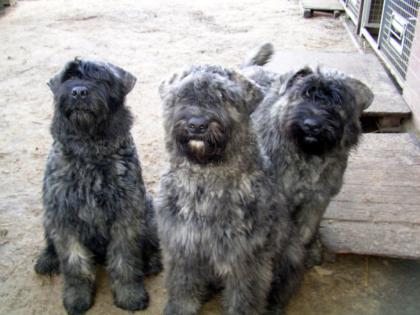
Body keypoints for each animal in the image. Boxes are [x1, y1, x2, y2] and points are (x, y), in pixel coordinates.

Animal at [33, 58, 162, 315]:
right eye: (69, 77)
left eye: (102, 78)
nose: (79, 92)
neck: (89, 152)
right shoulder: (63, 217)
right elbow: (74, 264)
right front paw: (77, 297)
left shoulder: (126, 216)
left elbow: (125, 261)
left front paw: (130, 295)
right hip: (48, 216)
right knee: (50, 242)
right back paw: (47, 259)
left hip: (148, 209)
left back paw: (151, 261)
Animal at [156, 65, 304, 315]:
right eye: (183, 95)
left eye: (223, 96)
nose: (197, 125)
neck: (205, 184)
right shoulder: (182, 247)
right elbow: (182, 289)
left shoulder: (245, 259)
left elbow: (244, 300)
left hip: (289, 252)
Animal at [243, 43, 374, 266]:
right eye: (305, 94)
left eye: (337, 102)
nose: (312, 125)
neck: (307, 156)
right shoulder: (280, 199)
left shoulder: (317, 200)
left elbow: (305, 231)